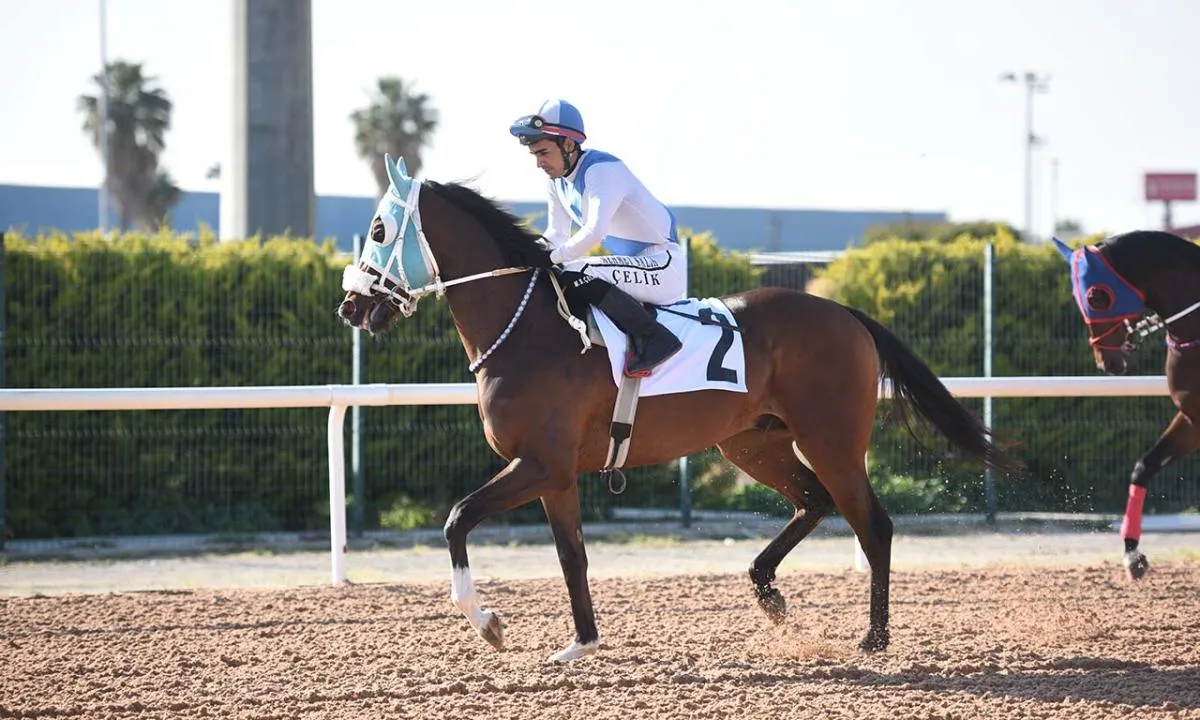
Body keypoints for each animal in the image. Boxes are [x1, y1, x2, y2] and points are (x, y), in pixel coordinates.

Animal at [337, 154, 1017, 662]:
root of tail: (844, 311)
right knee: (813, 501)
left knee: (871, 524)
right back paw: (767, 591)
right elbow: (571, 555)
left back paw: (872, 638)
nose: (352, 306)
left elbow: (456, 519)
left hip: (831, 441)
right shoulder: (556, 475)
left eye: (378, 230)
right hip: (752, 442)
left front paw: (489, 625)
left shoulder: (539, 464)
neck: (529, 330)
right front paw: (582, 643)